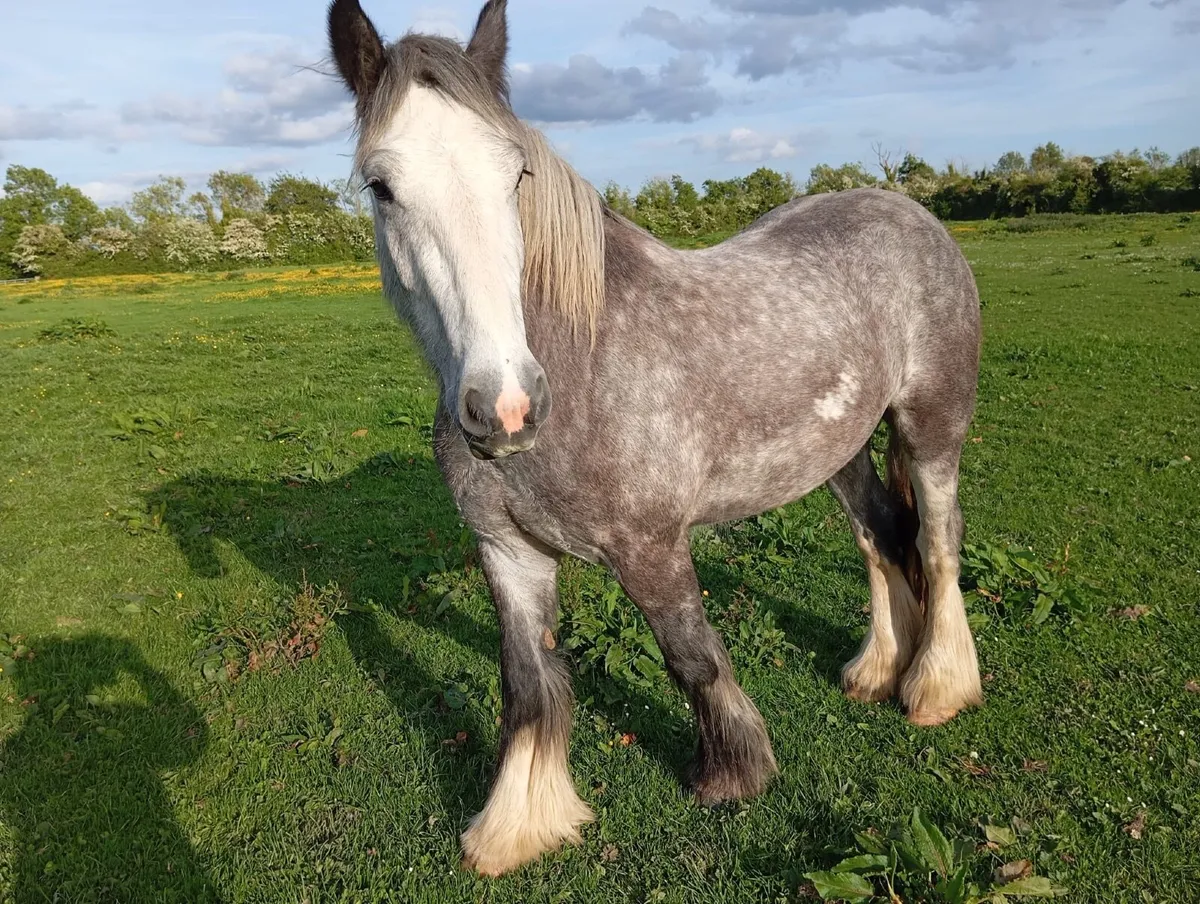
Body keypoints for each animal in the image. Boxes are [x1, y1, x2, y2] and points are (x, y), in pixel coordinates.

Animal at [327, 0, 984, 877]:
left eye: (516, 175)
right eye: (382, 185)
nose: (505, 407)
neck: (580, 360)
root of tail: (909, 212)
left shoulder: (650, 547)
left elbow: (691, 654)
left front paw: (735, 773)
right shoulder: (508, 553)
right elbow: (527, 683)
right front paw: (517, 826)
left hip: (931, 427)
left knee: (938, 542)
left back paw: (936, 688)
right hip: (839, 453)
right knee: (883, 536)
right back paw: (877, 671)